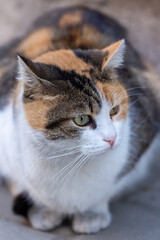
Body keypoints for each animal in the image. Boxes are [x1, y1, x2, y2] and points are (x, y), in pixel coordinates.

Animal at [0, 5, 160, 233]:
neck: (67, 159)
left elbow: (109, 188)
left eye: (114, 110)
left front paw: (92, 214)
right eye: (82, 119)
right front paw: (44, 210)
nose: (112, 139)